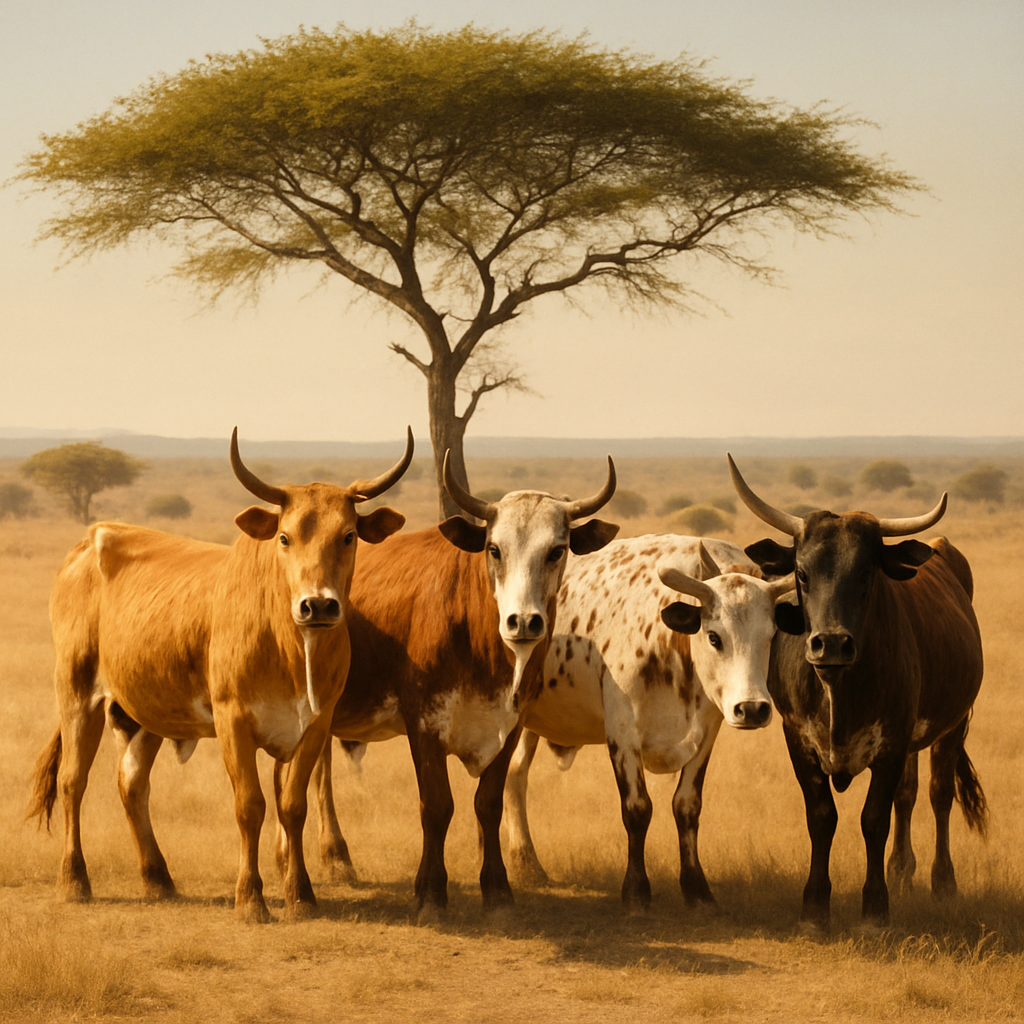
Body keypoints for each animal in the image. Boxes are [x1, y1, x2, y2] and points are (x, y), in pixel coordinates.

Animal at [27, 428, 412, 922]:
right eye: (284, 537)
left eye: (348, 536)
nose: (318, 605)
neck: (290, 646)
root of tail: (90, 539)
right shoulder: (233, 721)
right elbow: (250, 805)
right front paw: (250, 899)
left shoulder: (315, 725)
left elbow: (293, 805)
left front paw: (301, 895)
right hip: (77, 693)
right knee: (72, 781)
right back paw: (74, 879)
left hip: (148, 713)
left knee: (132, 784)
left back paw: (158, 878)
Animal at [299, 454, 619, 911]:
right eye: (494, 548)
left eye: (557, 551)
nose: (524, 622)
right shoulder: (424, 725)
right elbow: (436, 806)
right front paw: (431, 889)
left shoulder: (511, 725)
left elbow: (488, 805)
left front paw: (497, 888)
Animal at [502, 535, 795, 909]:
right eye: (714, 636)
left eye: (771, 635)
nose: (753, 708)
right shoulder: (622, 733)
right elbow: (637, 809)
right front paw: (636, 891)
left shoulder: (707, 731)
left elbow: (687, 806)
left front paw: (697, 889)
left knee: (514, 774)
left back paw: (526, 862)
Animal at [728, 454, 987, 929]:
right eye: (801, 573)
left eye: (867, 572)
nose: (831, 644)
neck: (839, 688)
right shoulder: (799, 740)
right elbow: (822, 817)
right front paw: (814, 907)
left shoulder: (893, 741)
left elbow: (873, 819)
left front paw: (874, 908)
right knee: (909, 794)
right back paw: (902, 870)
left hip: (955, 725)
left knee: (939, 794)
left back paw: (942, 881)